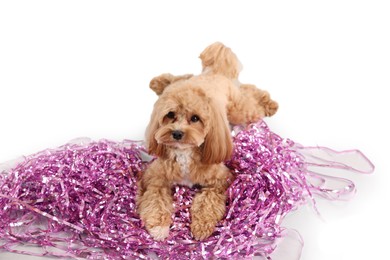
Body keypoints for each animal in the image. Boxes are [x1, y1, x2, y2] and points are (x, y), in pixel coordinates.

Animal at [137, 41, 278, 241]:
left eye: (195, 118)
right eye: (170, 115)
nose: (177, 133)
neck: (184, 153)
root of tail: (216, 72)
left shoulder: (220, 180)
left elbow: (207, 202)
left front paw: (201, 227)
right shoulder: (155, 177)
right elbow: (155, 199)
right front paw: (158, 226)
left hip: (239, 110)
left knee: (250, 94)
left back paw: (270, 104)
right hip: (187, 81)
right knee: (181, 77)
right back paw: (159, 81)